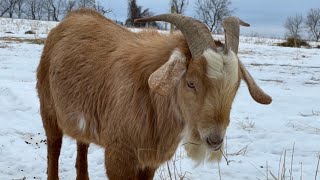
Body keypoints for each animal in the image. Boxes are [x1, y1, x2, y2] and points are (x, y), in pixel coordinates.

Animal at [37, 8, 272, 180]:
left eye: (236, 87)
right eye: (190, 83)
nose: (214, 139)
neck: (152, 99)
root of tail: (73, 16)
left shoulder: (150, 161)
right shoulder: (119, 156)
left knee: (82, 145)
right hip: (48, 110)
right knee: (54, 148)